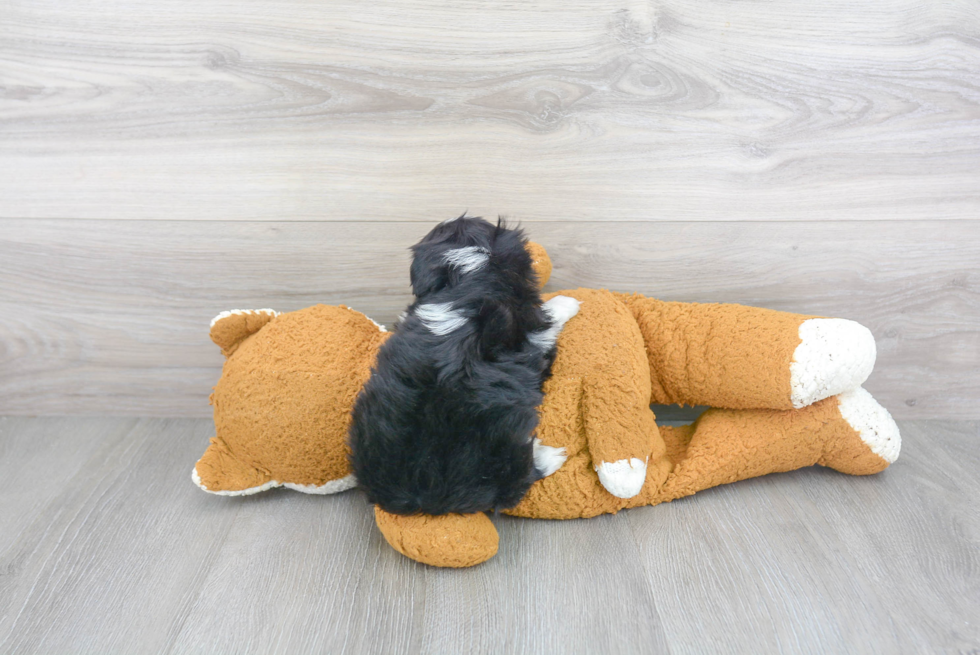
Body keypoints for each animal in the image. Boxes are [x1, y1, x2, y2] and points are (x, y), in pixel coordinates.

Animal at [348, 218, 580, 516]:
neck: (466, 279)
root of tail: (426, 496)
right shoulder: (533, 335)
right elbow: (549, 322)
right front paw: (566, 303)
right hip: (505, 453)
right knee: (519, 480)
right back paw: (551, 455)